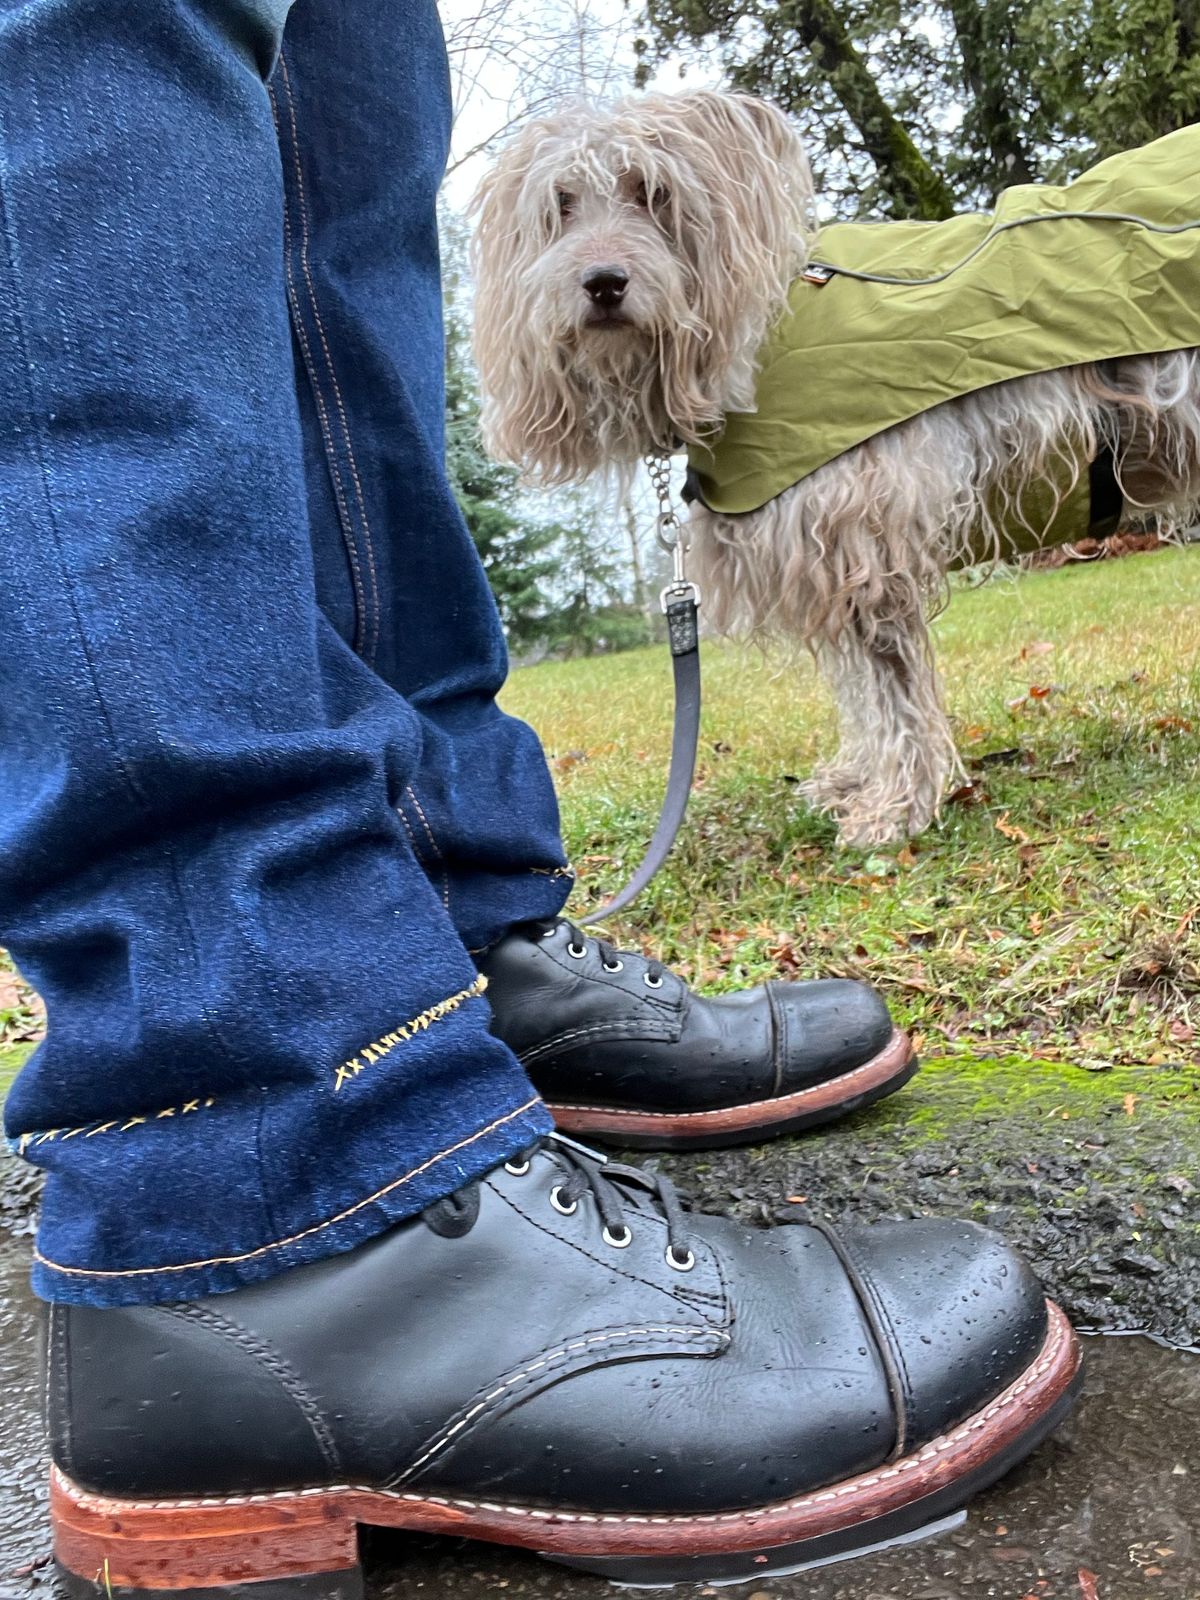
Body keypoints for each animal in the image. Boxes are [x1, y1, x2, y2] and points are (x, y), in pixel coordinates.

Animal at [473, 89, 1200, 844]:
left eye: (654, 193)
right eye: (560, 204)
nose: (603, 282)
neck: (757, 345)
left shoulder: (862, 543)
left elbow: (892, 687)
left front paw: (896, 807)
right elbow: (868, 696)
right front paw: (861, 782)